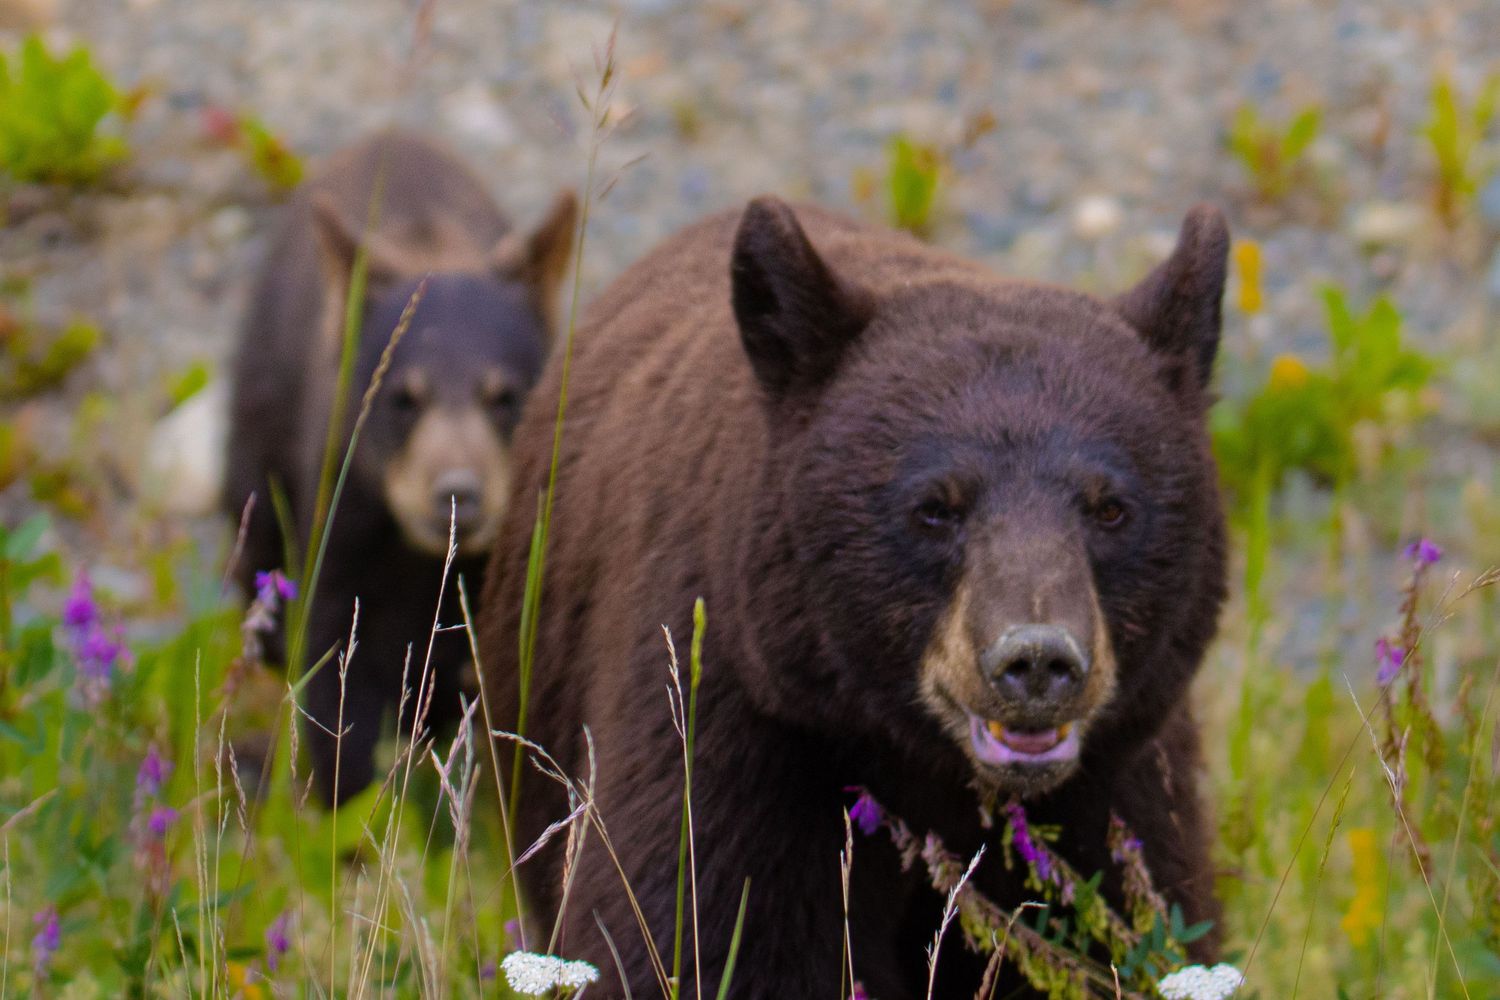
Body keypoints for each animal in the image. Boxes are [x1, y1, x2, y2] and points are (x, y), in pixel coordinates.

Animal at [224, 130, 576, 805]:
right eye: (403, 397)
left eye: (505, 394)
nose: (457, 493)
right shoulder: (343, 526)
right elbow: (338, 670)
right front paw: (355, 802)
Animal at [478, 196, 1228, 998]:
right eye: (934, 507)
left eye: (1111, 507)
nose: (1036, 661)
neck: (935, 778)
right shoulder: (727, 724)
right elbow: (697, 932)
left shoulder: (1120, 791)